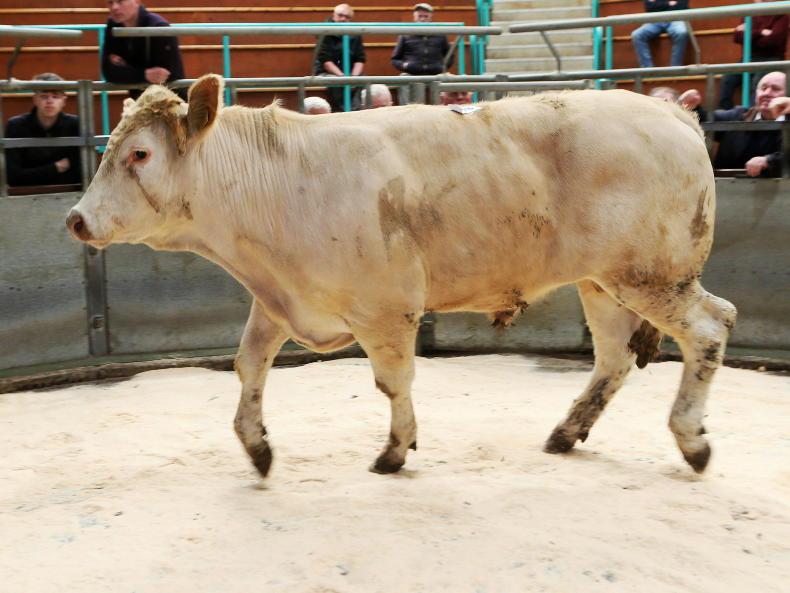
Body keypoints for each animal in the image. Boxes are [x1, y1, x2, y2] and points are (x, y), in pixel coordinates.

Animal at [66, 74, 737, 478]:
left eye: (140, 154)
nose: (76, 218)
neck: (279, 181)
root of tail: (672, 113)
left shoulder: (386, 309)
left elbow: (393, 381)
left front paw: (394, 449)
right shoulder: (281, 299)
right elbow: (250, 365)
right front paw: (256, 446)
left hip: (652, 276)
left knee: (710, 327)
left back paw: (692, 440)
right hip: (601, 282)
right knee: (614, 356)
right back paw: (568, 431)